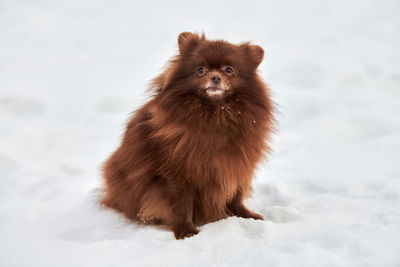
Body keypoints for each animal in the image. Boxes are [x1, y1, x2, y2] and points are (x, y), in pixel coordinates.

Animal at [101, 32, 274, 240]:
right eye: (200, 70)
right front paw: (186, 231)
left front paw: (245, 216)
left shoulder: (238, 164)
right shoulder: (177, 174)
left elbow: (235, 196)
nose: (215, 77)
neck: (215, 116)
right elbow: (181, 205)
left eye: (229, 70)